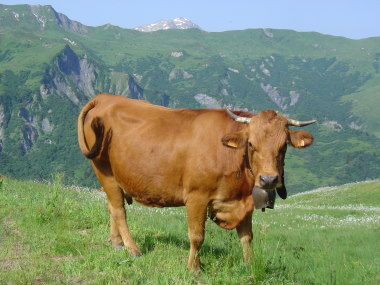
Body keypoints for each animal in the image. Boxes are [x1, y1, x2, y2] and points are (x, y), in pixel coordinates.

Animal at [76, 92, 314, 270]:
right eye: (251, 144)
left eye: (283, 146)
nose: (268, 179)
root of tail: (104, 97)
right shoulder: (196, 197)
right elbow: (197, 235)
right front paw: (194, 268)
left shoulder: (243, 200)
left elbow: (247, 236)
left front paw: (250, 265)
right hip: (104, 171)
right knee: (118, 210)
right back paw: (132, 249)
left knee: (111, 206)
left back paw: (116, 243)